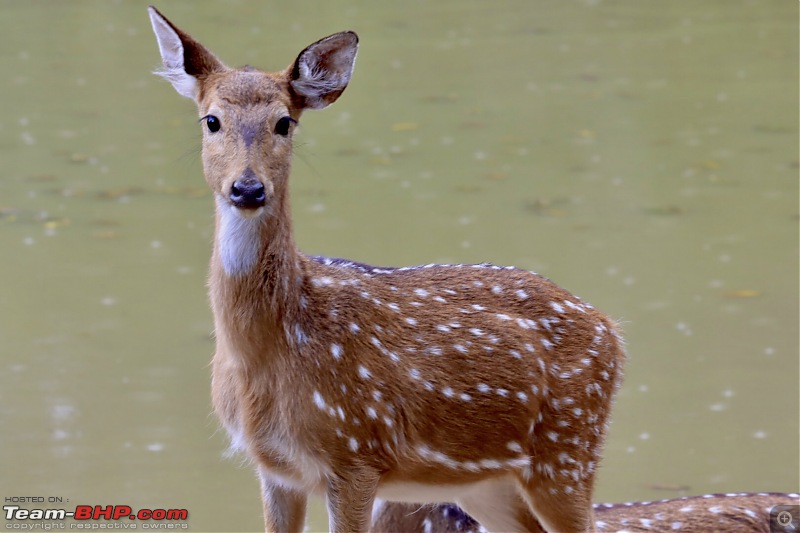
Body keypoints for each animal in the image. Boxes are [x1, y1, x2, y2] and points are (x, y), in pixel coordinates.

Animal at [148, 5, 624, 532]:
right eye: (211, 120)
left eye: (284, 122)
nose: (247, 189)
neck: (264, 352)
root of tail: (611, 330)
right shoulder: (274, 467)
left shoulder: (356, 452)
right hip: (489, 482)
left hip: (568, 447)